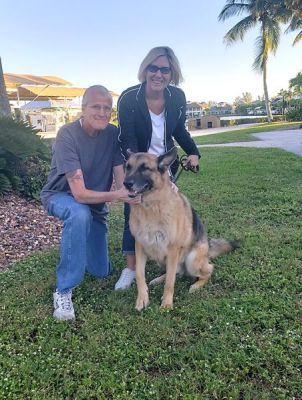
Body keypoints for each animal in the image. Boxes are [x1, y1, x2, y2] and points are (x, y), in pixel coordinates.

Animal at [123, 146, 238, 310]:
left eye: (145, 168)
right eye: (128, 167)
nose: (126, 183)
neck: (151, 207)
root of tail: (207, 248)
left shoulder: (172, 249)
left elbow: (170, 282)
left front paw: (166, 303)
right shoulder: (140, 246)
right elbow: (140, 275)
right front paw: (142, 299)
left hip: (191, 261)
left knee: (208, 270)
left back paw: (196, 286)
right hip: (162, 258)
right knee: (177, 272)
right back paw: (158, 279)